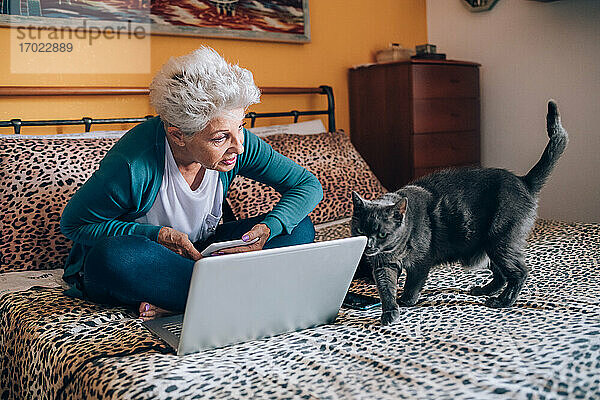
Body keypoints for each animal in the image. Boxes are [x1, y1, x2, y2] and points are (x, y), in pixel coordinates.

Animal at [352, 100, 568, 324]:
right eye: (360, 231)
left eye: (382, 234)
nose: (369, 245)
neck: (397, 247)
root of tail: (523, 181)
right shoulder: (383, 265)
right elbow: (386, 289)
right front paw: (390, 311)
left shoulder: (421, 262)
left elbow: (413, 282)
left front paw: (406, 301)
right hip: (489, 246)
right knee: (501, 275)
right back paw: (485, 291)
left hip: (500, 240)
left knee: (520, 272)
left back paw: (503, 301)